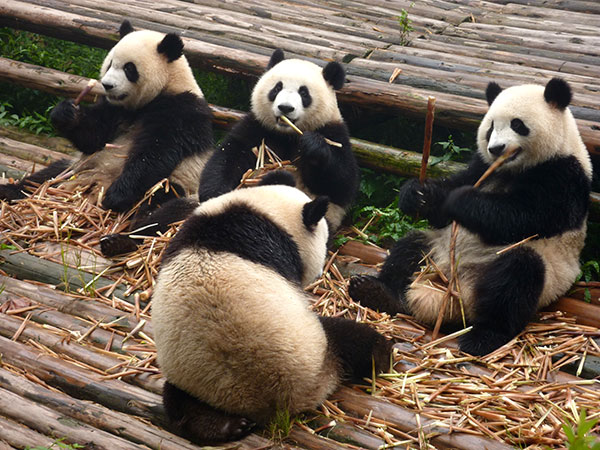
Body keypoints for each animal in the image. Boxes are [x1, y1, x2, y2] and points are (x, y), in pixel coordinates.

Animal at [0, 19, 213, 221]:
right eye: (110, 63)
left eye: (129, 68)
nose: (107, 85)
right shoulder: (114, 109)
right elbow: (94, 138)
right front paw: (66, 113)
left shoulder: (182, 112)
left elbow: (155, 153)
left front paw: (116, 196)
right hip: (76, 167)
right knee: (45, 176)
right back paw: (9, 191)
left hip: (181, 183)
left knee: (161, 202)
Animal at [152, 171, 392, 442]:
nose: (321, 270)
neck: (267, 211)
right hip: (318, 348)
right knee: (351, 337)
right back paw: (382, 354)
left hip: (194, 380)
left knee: (179, 402)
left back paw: (224, 426)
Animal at [197, 49, 358, 232]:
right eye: (277, 88)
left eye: (304, 93)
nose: (285, 108)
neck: (286, 134)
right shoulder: (258, 128)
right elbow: (229, 156)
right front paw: (215, 194)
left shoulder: (334, 132)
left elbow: (341, 183)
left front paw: (313, 145)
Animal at [350, 79, 592, 356]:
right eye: (491, 128)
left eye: (517, 124)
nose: (496, 148)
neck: (511, 169)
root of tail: (454, 292)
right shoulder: (481, 165)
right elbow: (449, 199)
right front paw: (418, 194)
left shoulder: (563, 176)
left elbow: (521, 217)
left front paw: (460, 200)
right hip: (436, 251)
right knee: (409, 248)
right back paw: (376, 291)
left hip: (543, 274)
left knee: (516, 278)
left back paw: (483, 337)